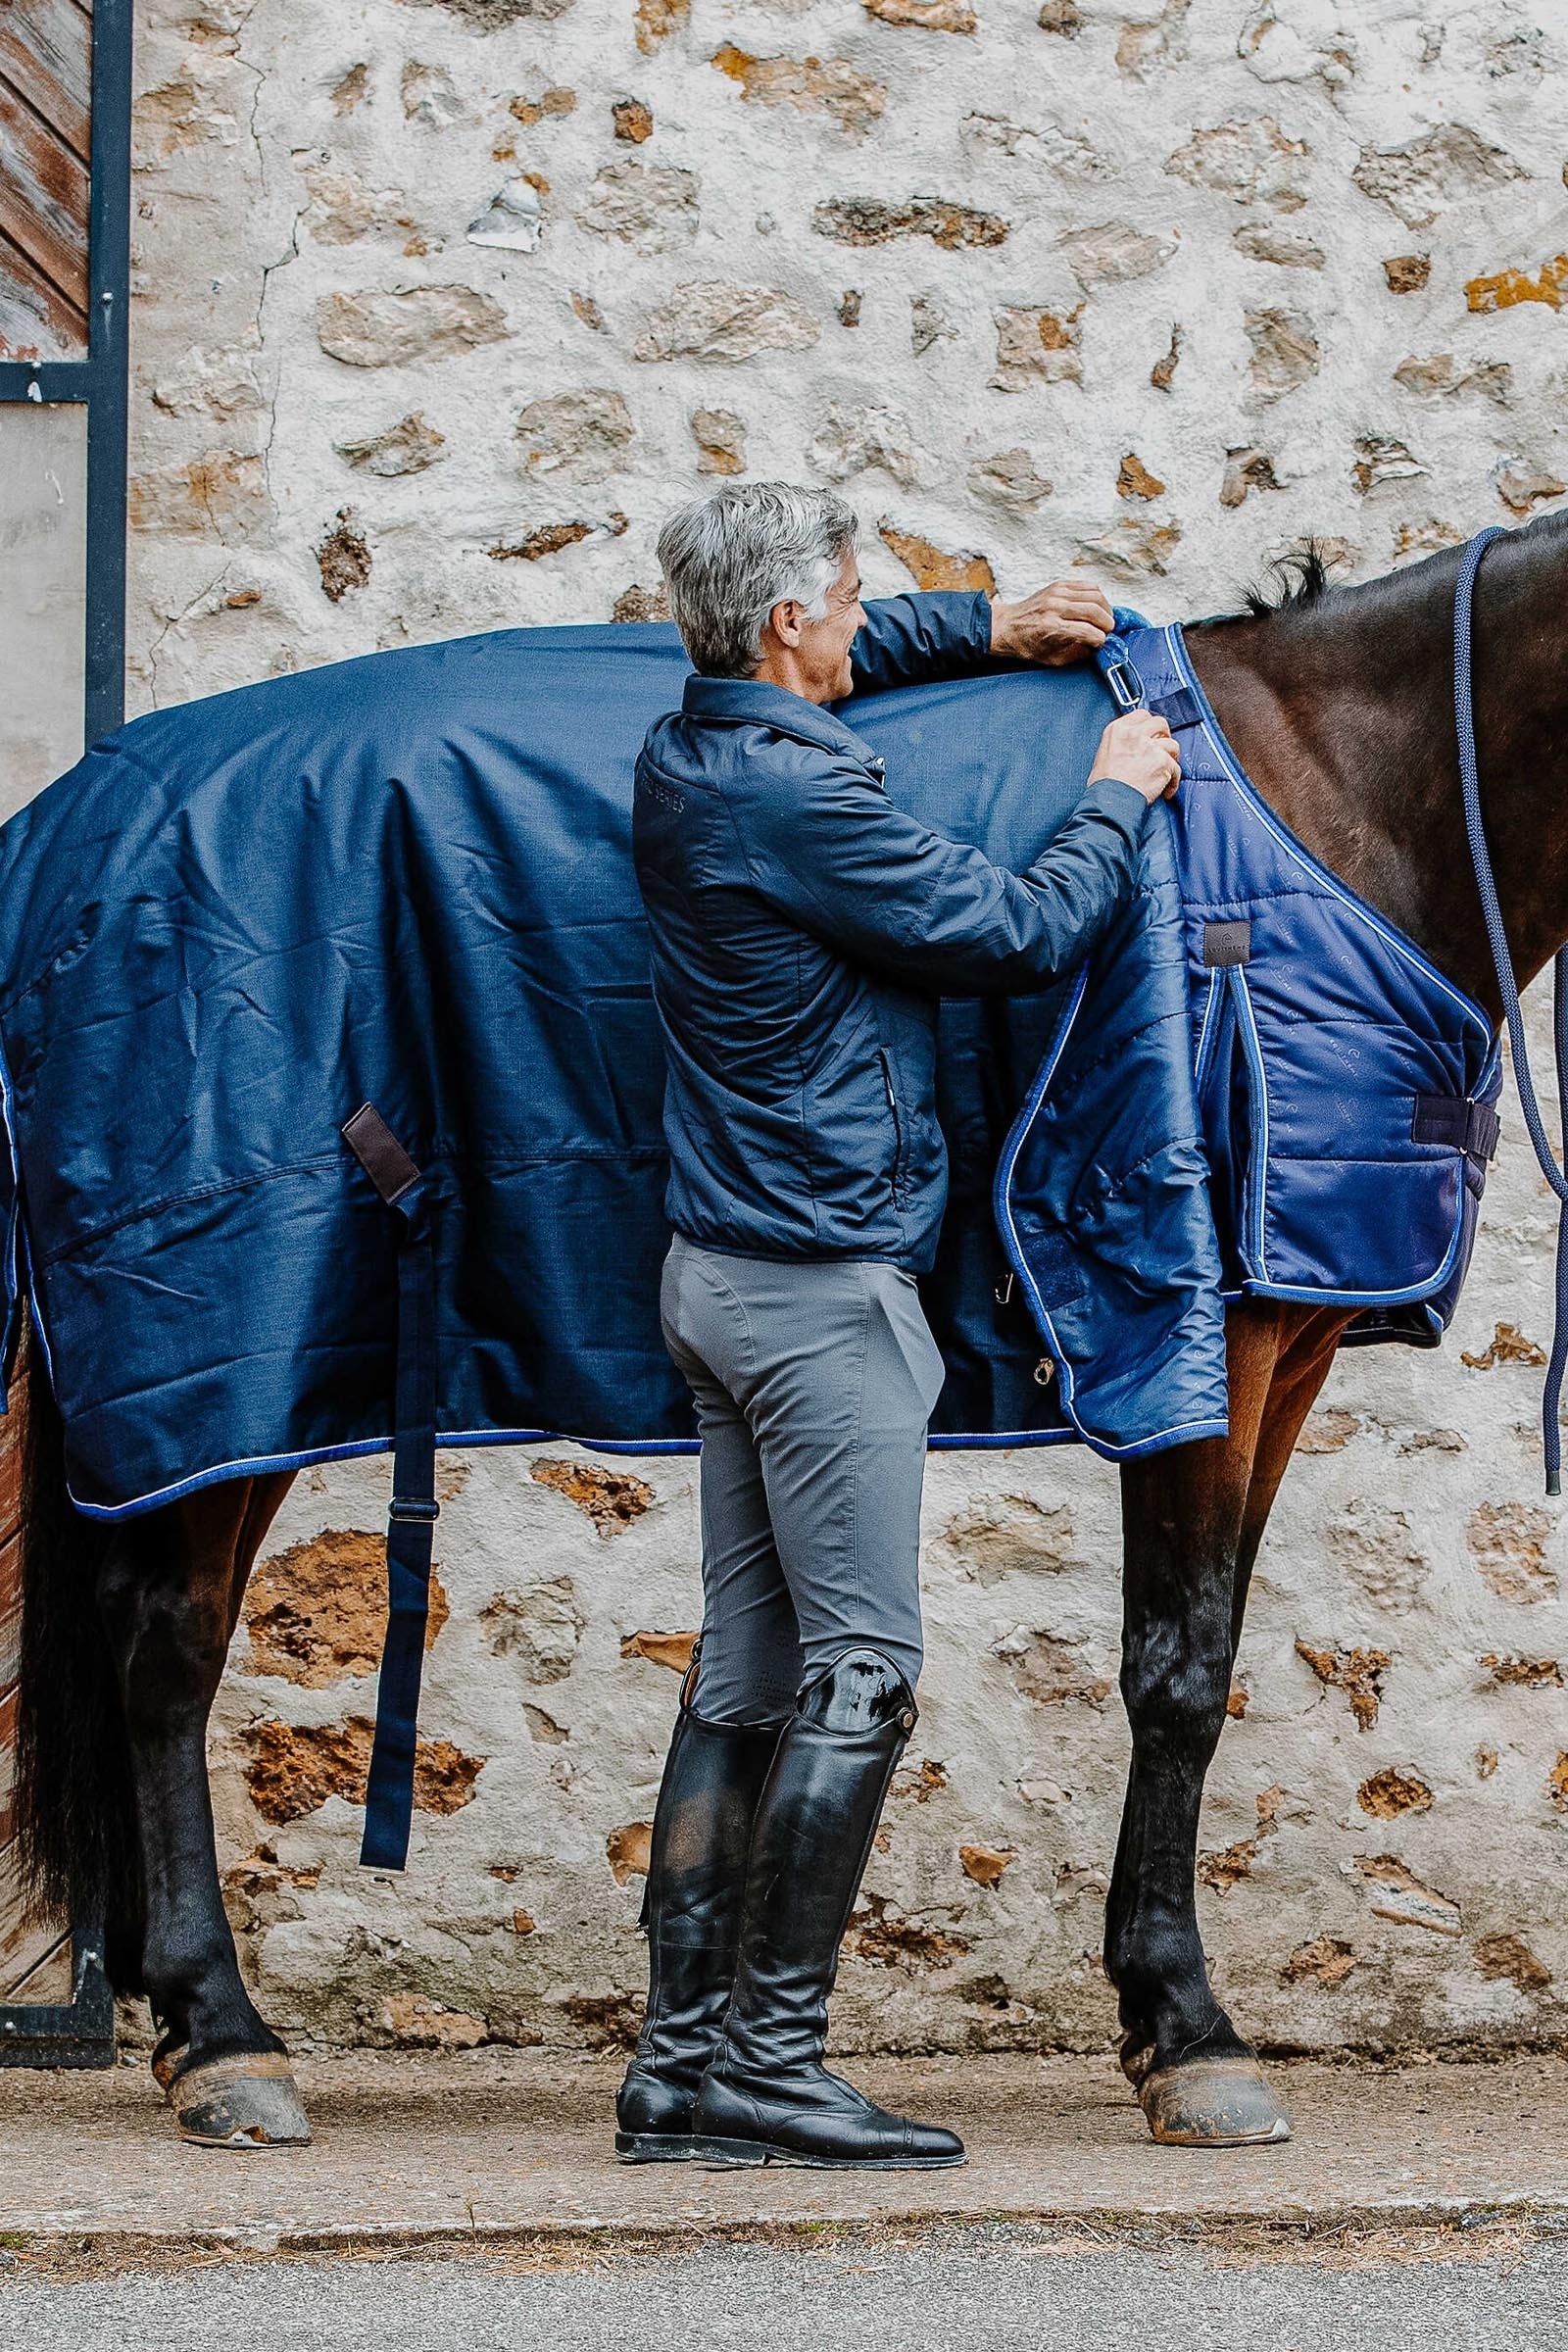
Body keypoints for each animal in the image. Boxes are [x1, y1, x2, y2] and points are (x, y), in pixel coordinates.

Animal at [12, 513, 1562, 2149]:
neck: (1341, 799)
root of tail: (64, 829)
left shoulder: (1288, 1348)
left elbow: (1205, 1653)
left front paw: (1160, 2021)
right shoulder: (1206, 1334)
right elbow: (1180, 1670)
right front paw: (1192, 2034)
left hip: (260, 1397)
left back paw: (191, 2021)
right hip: (210, 1376)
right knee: (167, 1655)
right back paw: (224, 2036)